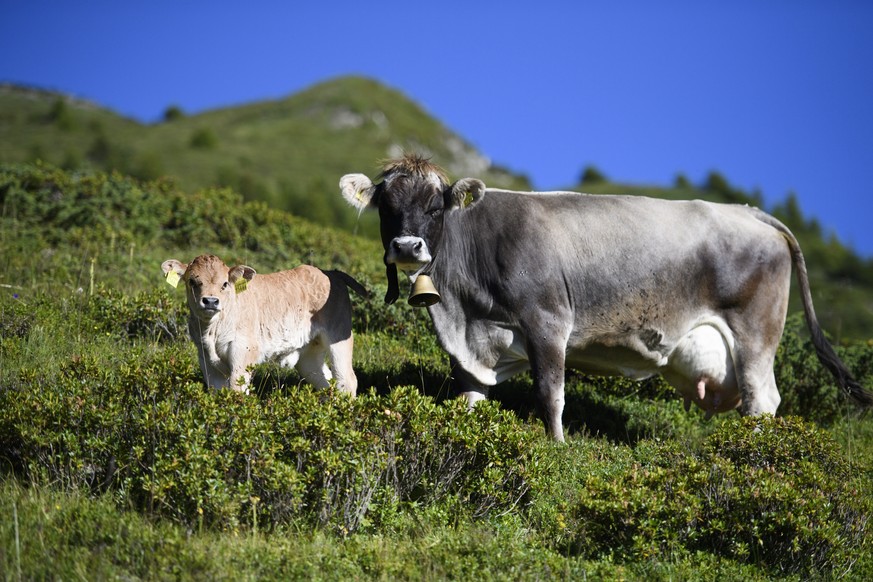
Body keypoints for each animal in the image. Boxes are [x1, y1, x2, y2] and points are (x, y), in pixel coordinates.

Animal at [338, 153, 864, 440]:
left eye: (435, 206)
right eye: (386, 206)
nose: (408, 247)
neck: (462, 310)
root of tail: (752, 213)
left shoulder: (548, 321)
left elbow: (550, 394)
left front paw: (557, 447)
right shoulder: (473, 344)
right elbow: (470, 397)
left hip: (756, 334)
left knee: (763, 401)